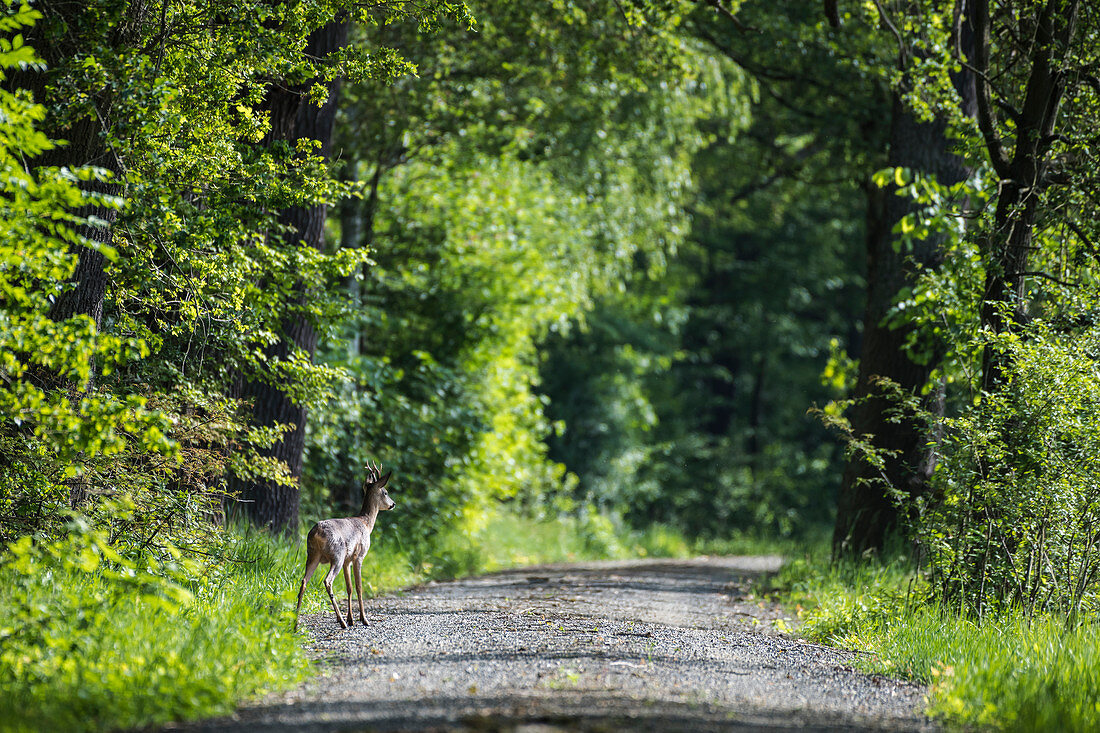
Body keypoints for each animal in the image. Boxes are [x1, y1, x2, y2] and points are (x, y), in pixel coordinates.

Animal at [292, 462, 396, 629]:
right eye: (385, 492)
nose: (393, 504)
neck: (366, 523)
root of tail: (316, 531)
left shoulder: (348, 560)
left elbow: (349, 588)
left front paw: (351, 619)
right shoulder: (358, 556)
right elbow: (359, 587)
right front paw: (363, 619)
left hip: (312, 555)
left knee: (303, 582)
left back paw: (295, 623)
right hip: (337, 555)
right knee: (327, 581)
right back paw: (341, 621)